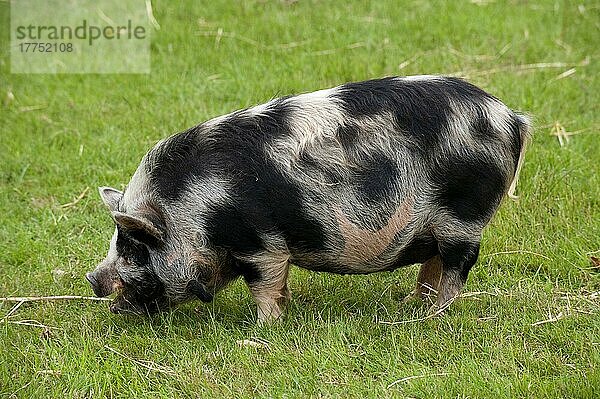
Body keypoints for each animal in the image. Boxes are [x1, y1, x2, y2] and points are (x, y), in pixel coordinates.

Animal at [85, 76, 528, 324]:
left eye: (134, 246)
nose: (93, 279)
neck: (196, 211)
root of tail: (510, 117)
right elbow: (278, 286)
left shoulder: (260, 244)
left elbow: (264, 286)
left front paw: (262, 328)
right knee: (433, 264)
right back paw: (410, 305)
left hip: (465, 215)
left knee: (456, 268)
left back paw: (432, 318)